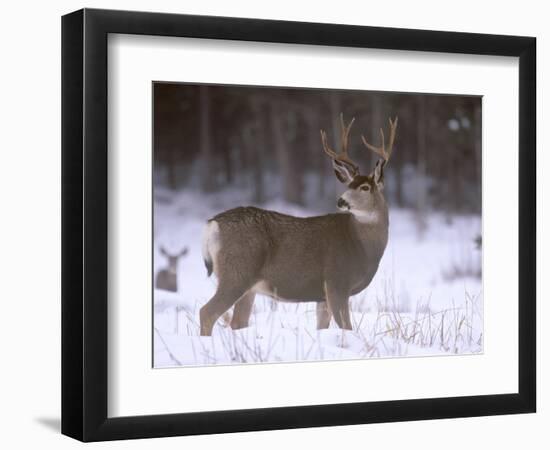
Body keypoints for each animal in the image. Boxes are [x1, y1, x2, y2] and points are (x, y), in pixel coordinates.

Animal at [201, 114, 398, 336]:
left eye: (364, 187)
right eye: (349, 185)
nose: (341, 201)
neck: (361, 247)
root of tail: (212, 224)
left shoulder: (323, 295)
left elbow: (322, 326)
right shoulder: (337, 281)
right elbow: (346, 327)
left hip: (247, 285)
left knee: (237, 322)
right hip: (237, 272)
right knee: (207, 313)